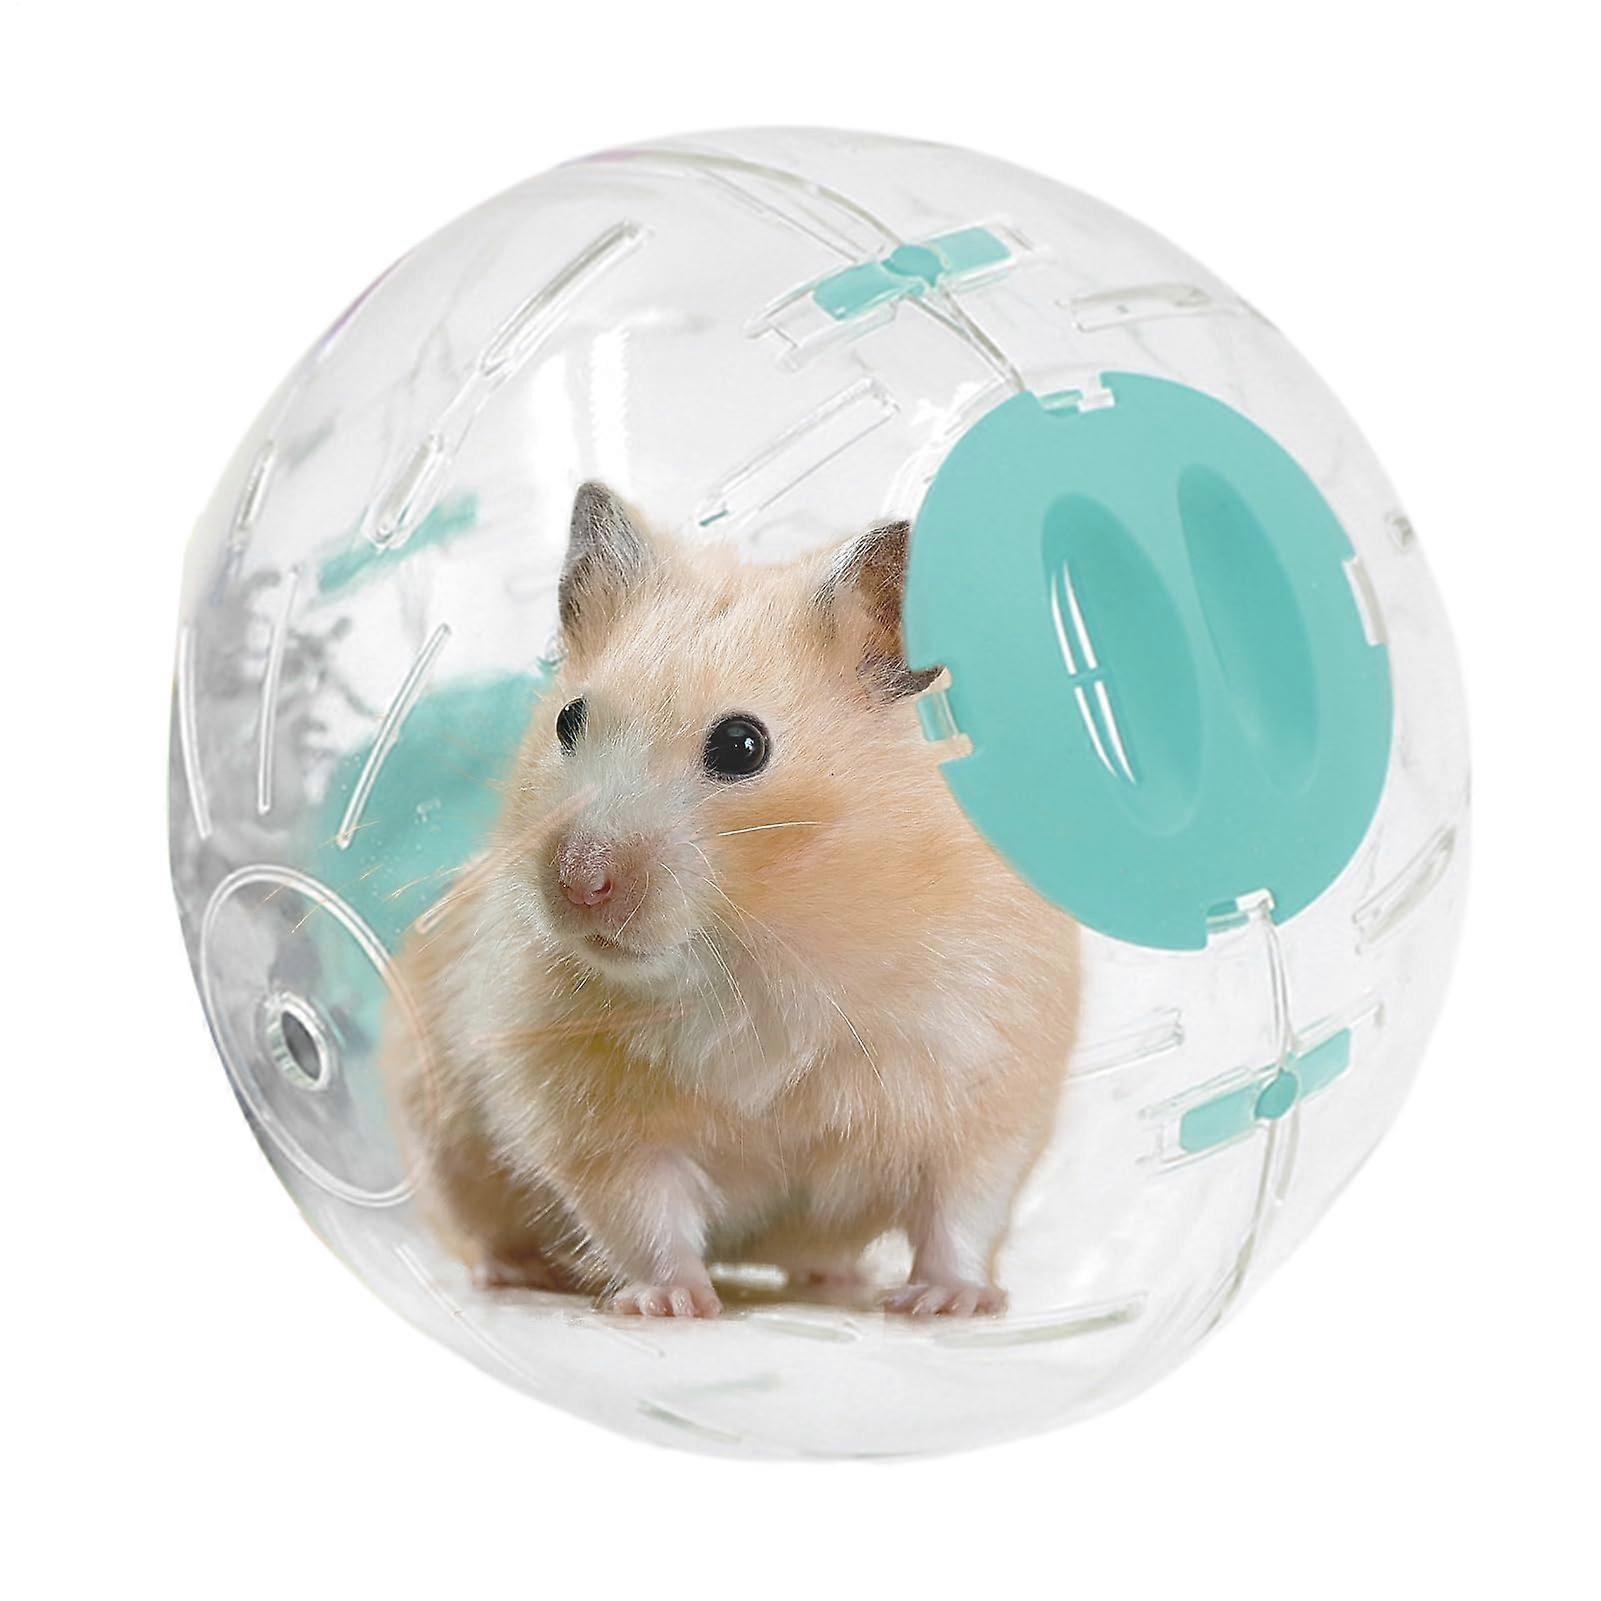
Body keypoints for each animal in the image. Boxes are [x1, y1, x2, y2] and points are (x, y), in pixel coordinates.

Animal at [383, 483, 1079, 1318]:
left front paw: (950, 1303)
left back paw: (842, 1280)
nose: (578, 882)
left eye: (742, 745)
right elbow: (643, 1214)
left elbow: (961, 1209)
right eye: (566, 719)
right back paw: (517, 1273)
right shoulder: (592, 1122)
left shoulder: (987, 1083)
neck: (756, 945)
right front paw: (672, 1304)